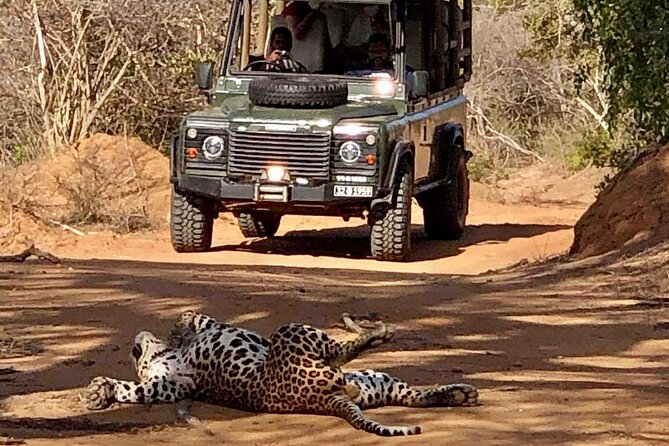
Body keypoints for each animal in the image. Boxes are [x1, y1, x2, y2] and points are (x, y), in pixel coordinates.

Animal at [83, 310, 478, 436]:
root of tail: (321, 400)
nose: (132, 346)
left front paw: (99, 390)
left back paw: (459, 393)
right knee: (344, 352)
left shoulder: (174, 384)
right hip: (294, 332)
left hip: (370, 383)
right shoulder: (173, 383)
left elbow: (186, 319)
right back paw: (373, 332)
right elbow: (191, 316)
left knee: (411, 394)